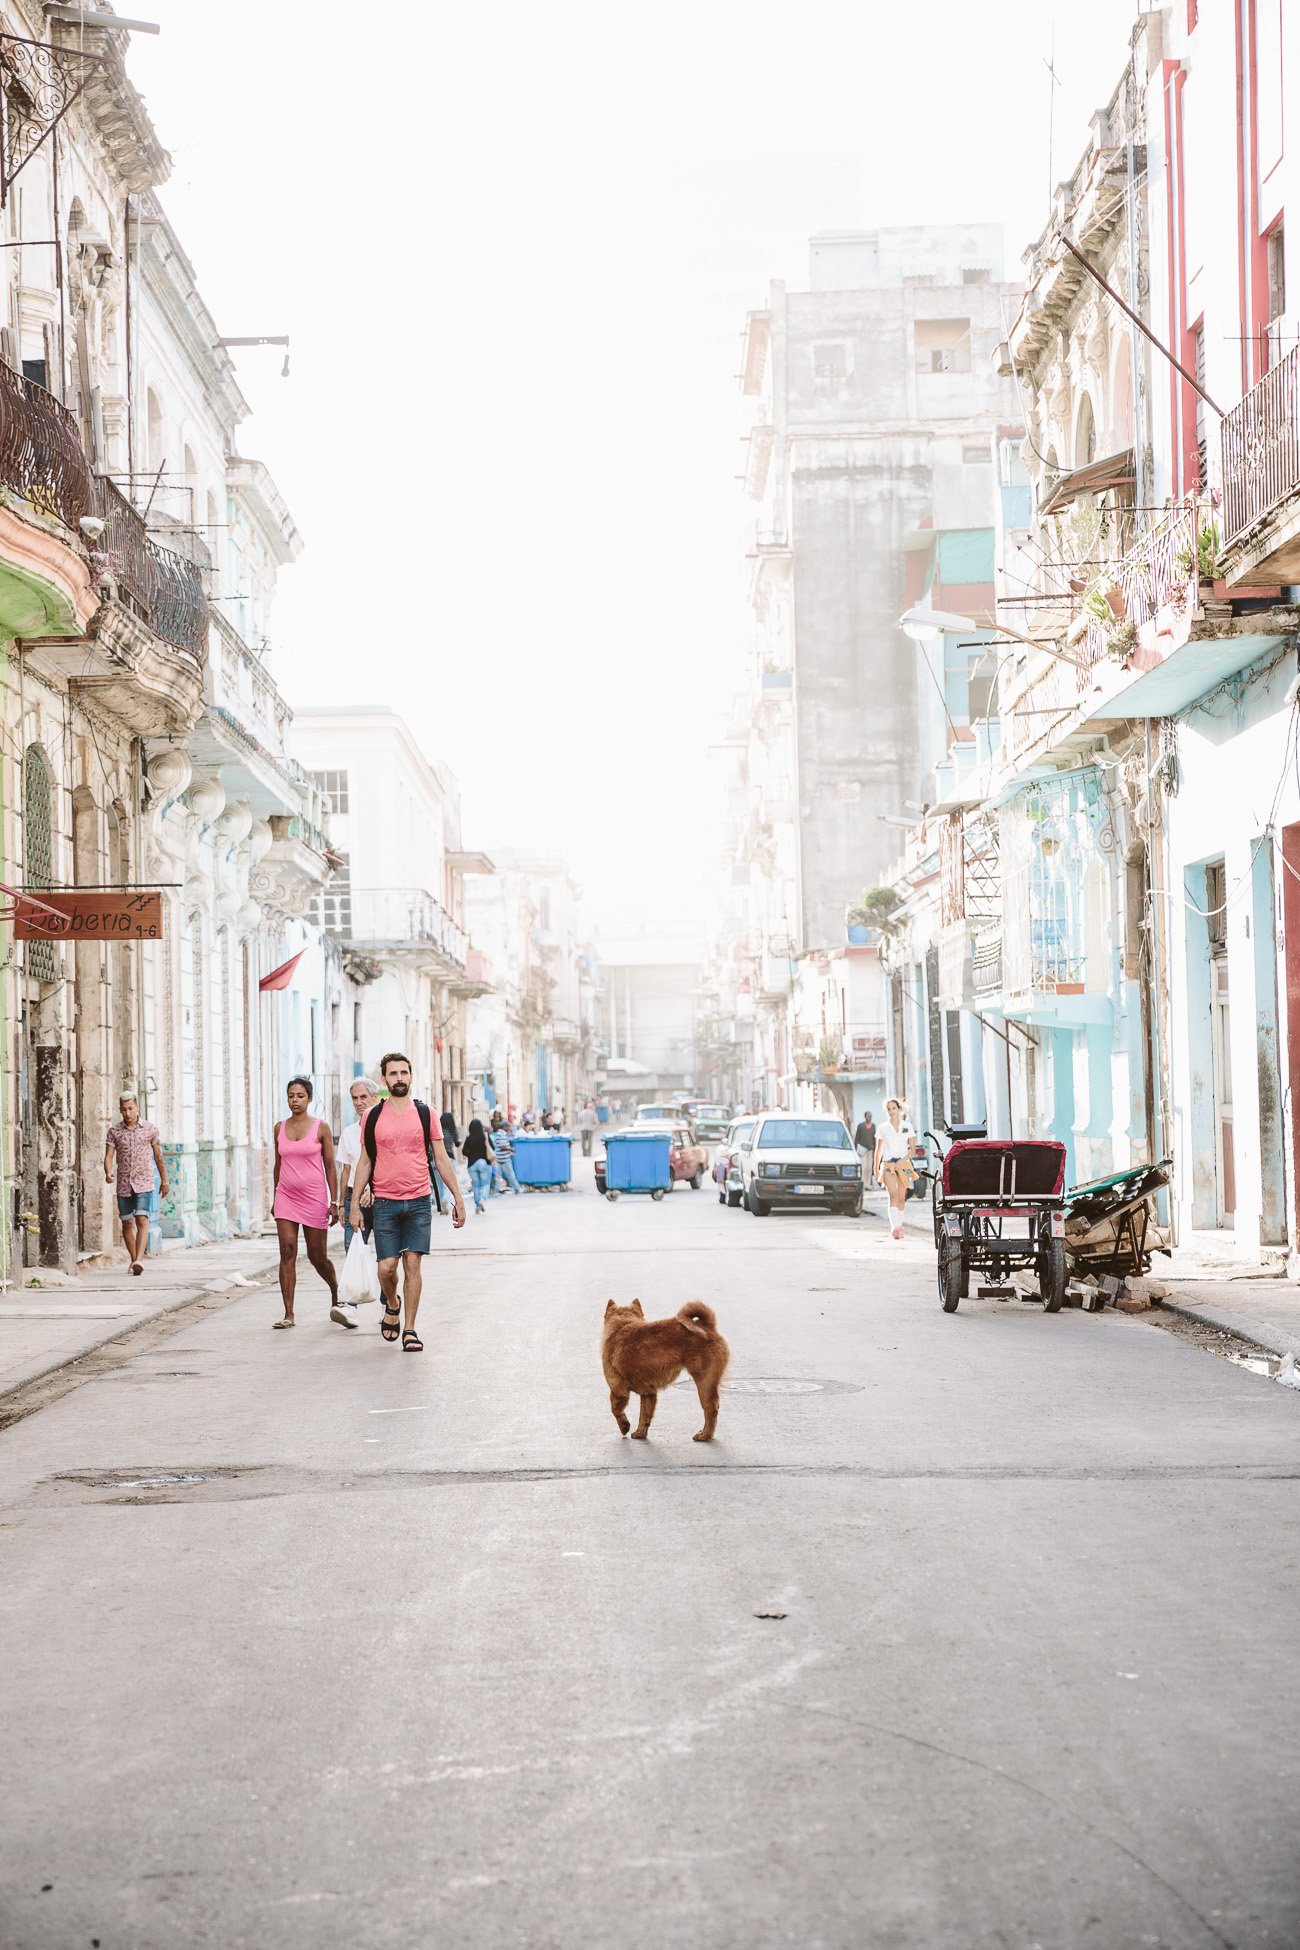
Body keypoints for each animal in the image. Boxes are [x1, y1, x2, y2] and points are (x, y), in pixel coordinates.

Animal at [604, 1302, 732, 1443]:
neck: (620, 1327)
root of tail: (708, 1325)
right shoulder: (648, 1393)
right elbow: (644, 1416)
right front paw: (640, 1433)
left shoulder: (618, 1389)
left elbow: (616, 1410)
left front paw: (625, 1427)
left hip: (704, 1382)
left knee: (711, 1410)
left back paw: (704, 1435)